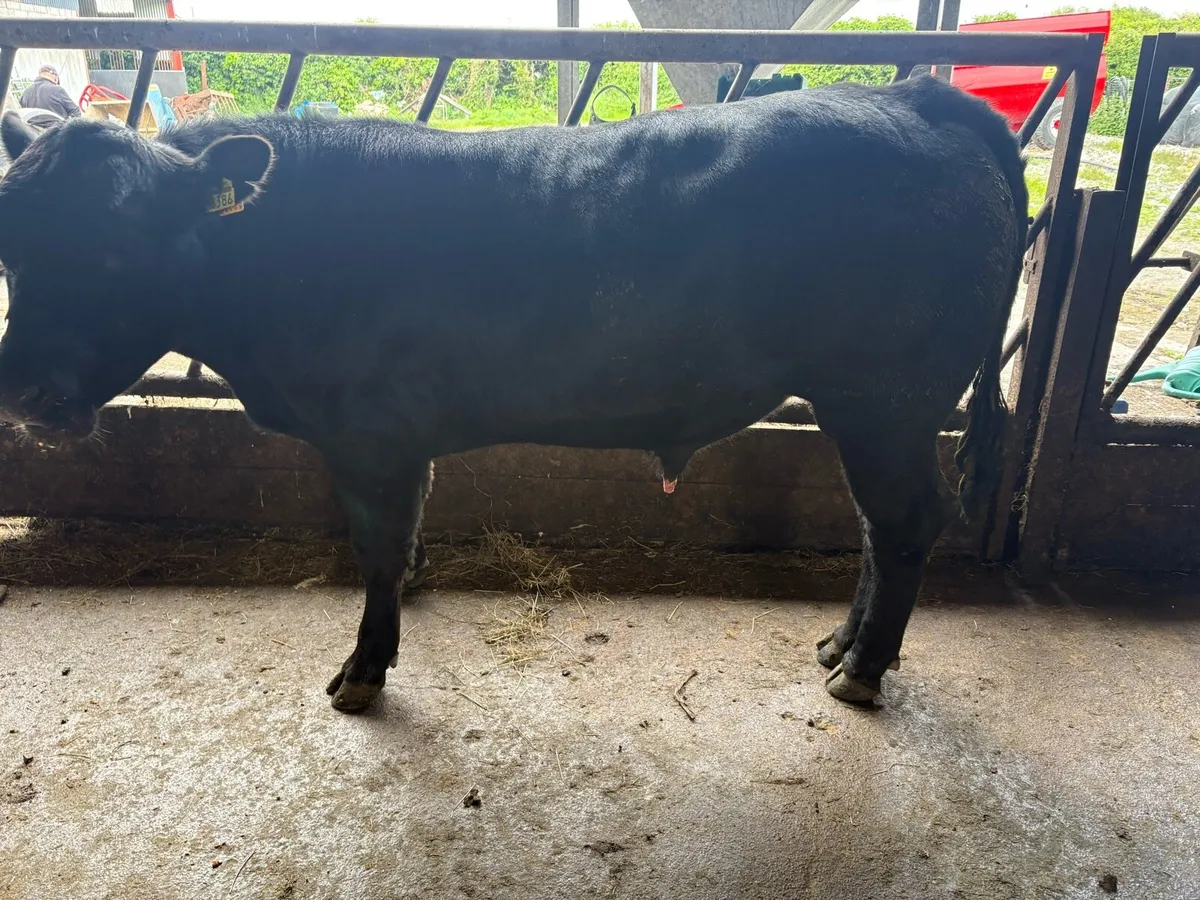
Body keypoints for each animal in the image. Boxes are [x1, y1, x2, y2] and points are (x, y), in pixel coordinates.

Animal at [0, 75, 1025, 713]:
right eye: (14, 246)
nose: (20, 390)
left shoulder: (370, 433)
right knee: (878, 527)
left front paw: (364, 671)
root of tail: (913, 95)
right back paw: (841, 647)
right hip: (874, 407)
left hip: (887, 399)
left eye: (116, 247)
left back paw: (863, 670)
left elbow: (378, 550)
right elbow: (406, 540)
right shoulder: (401, 438)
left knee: (904, 521)